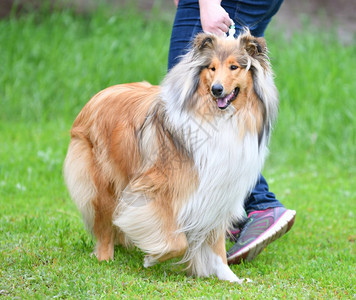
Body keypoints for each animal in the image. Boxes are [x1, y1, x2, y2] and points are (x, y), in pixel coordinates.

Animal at [64, 31, 280, 282]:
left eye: (234, 67)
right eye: (212, 68)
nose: (216, 90)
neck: (219, 119)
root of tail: (97, 96)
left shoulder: (217, 192)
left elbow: (216, 246)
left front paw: (229, 277)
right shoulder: (155, 190)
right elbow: (178, 242)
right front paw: (152, 257)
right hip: (103, 182)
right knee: (103, 225)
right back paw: (105, 257)